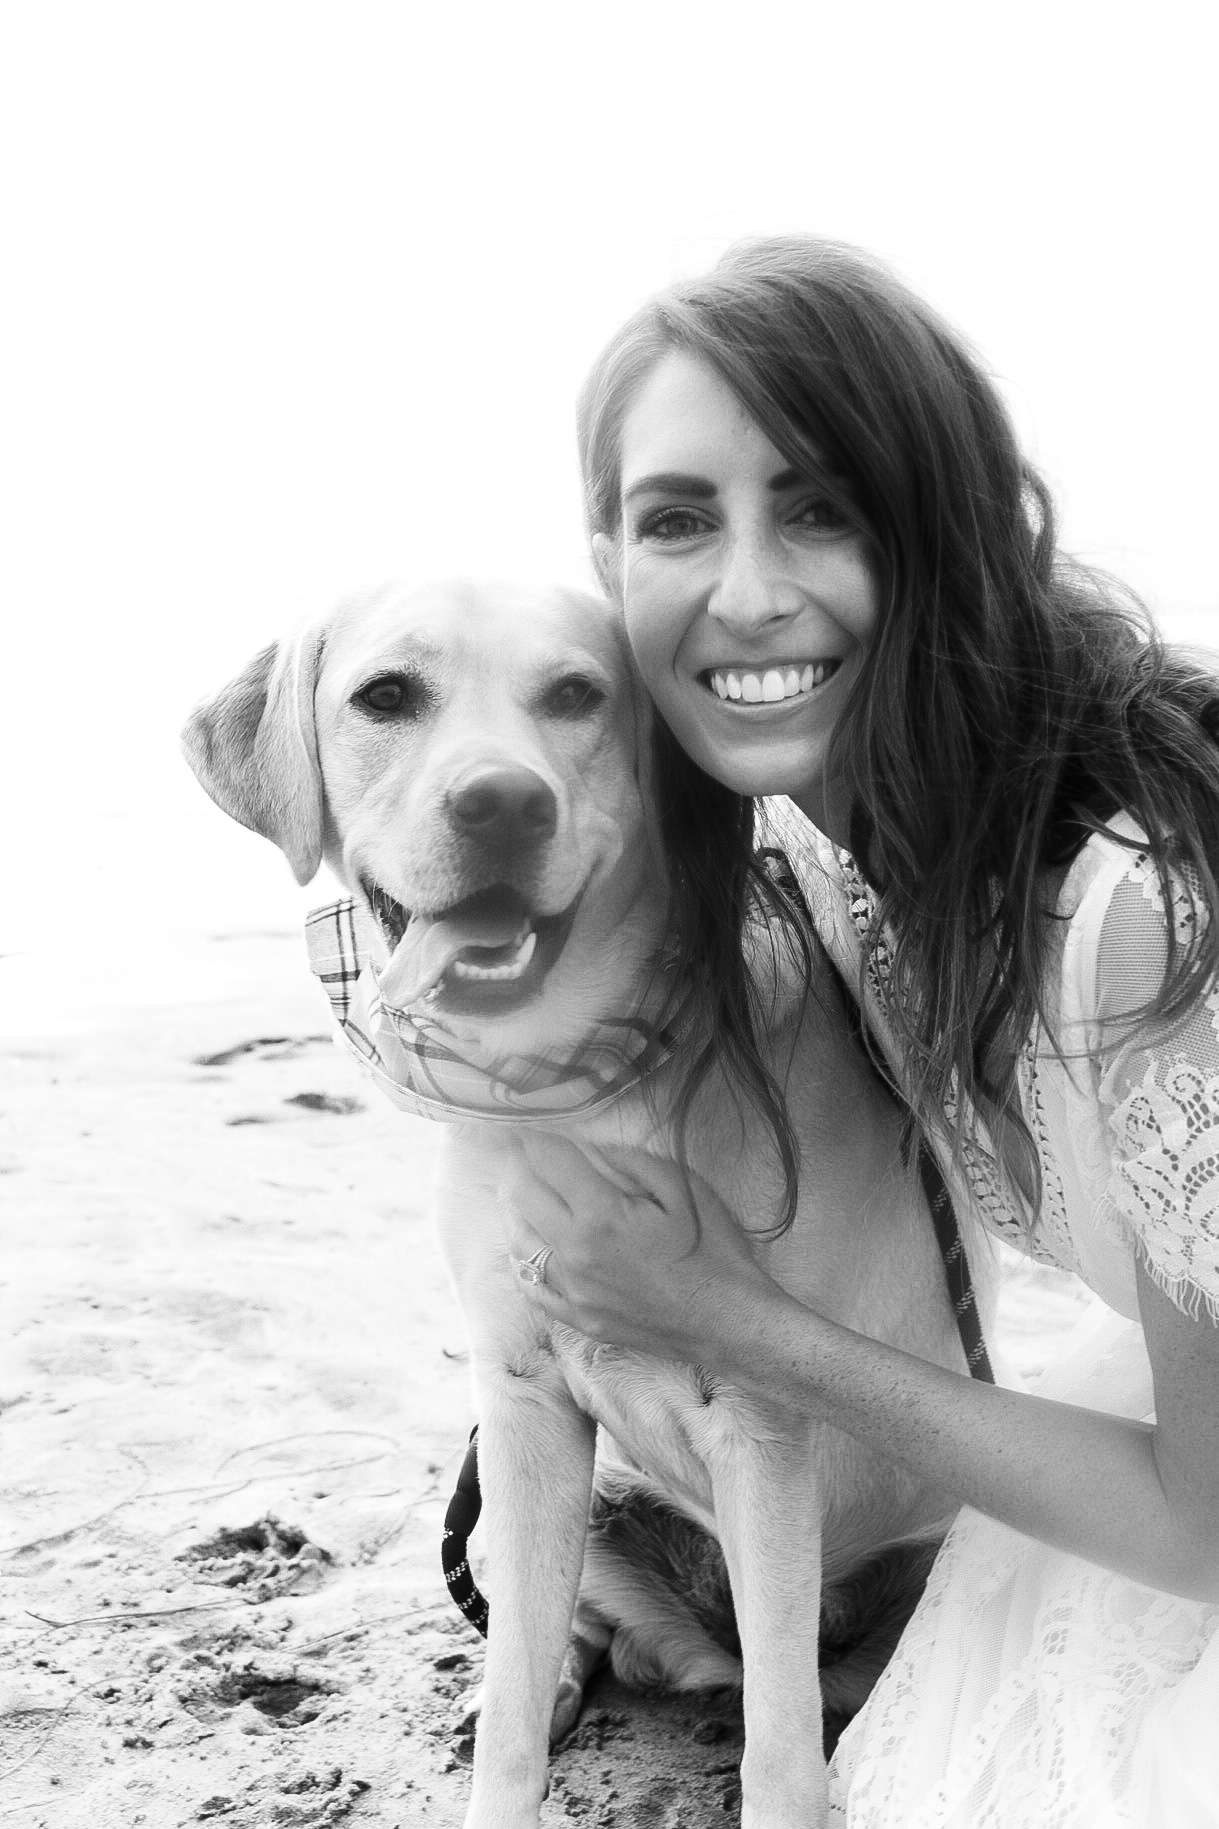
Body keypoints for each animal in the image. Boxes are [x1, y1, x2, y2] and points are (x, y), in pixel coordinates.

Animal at [182, 578, 993, 1829]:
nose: (501, 800)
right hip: (589, 1495)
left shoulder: (763, 1424)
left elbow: (780, 1752)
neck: (568, 1083)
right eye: (385, 695)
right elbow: (514, 1706)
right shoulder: (524, 1407)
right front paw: (510, 1730)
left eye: (577, 695)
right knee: (564, 1626)